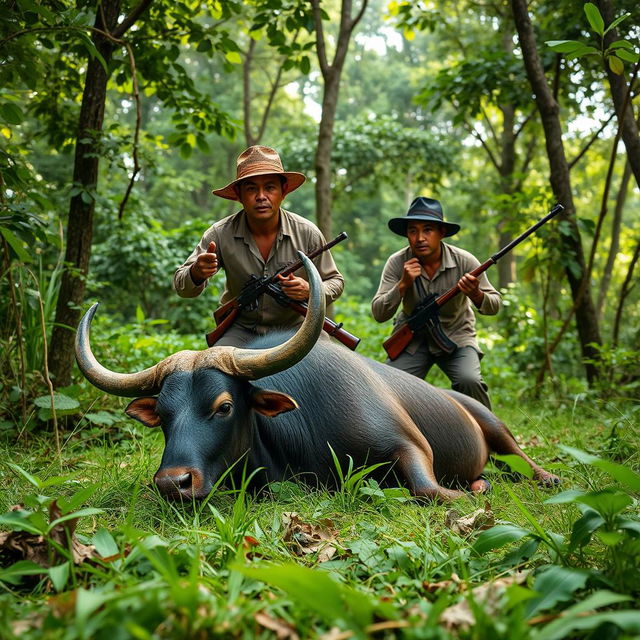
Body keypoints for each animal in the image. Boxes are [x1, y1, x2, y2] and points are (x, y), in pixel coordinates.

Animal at [75, 254, 556, 500]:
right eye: (162, 413)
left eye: (224, 406)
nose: (172, 483)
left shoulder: (411, 447)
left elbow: (429, 489)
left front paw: (473, 492)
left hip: (491, 421)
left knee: (517, 454)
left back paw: (543, 477)